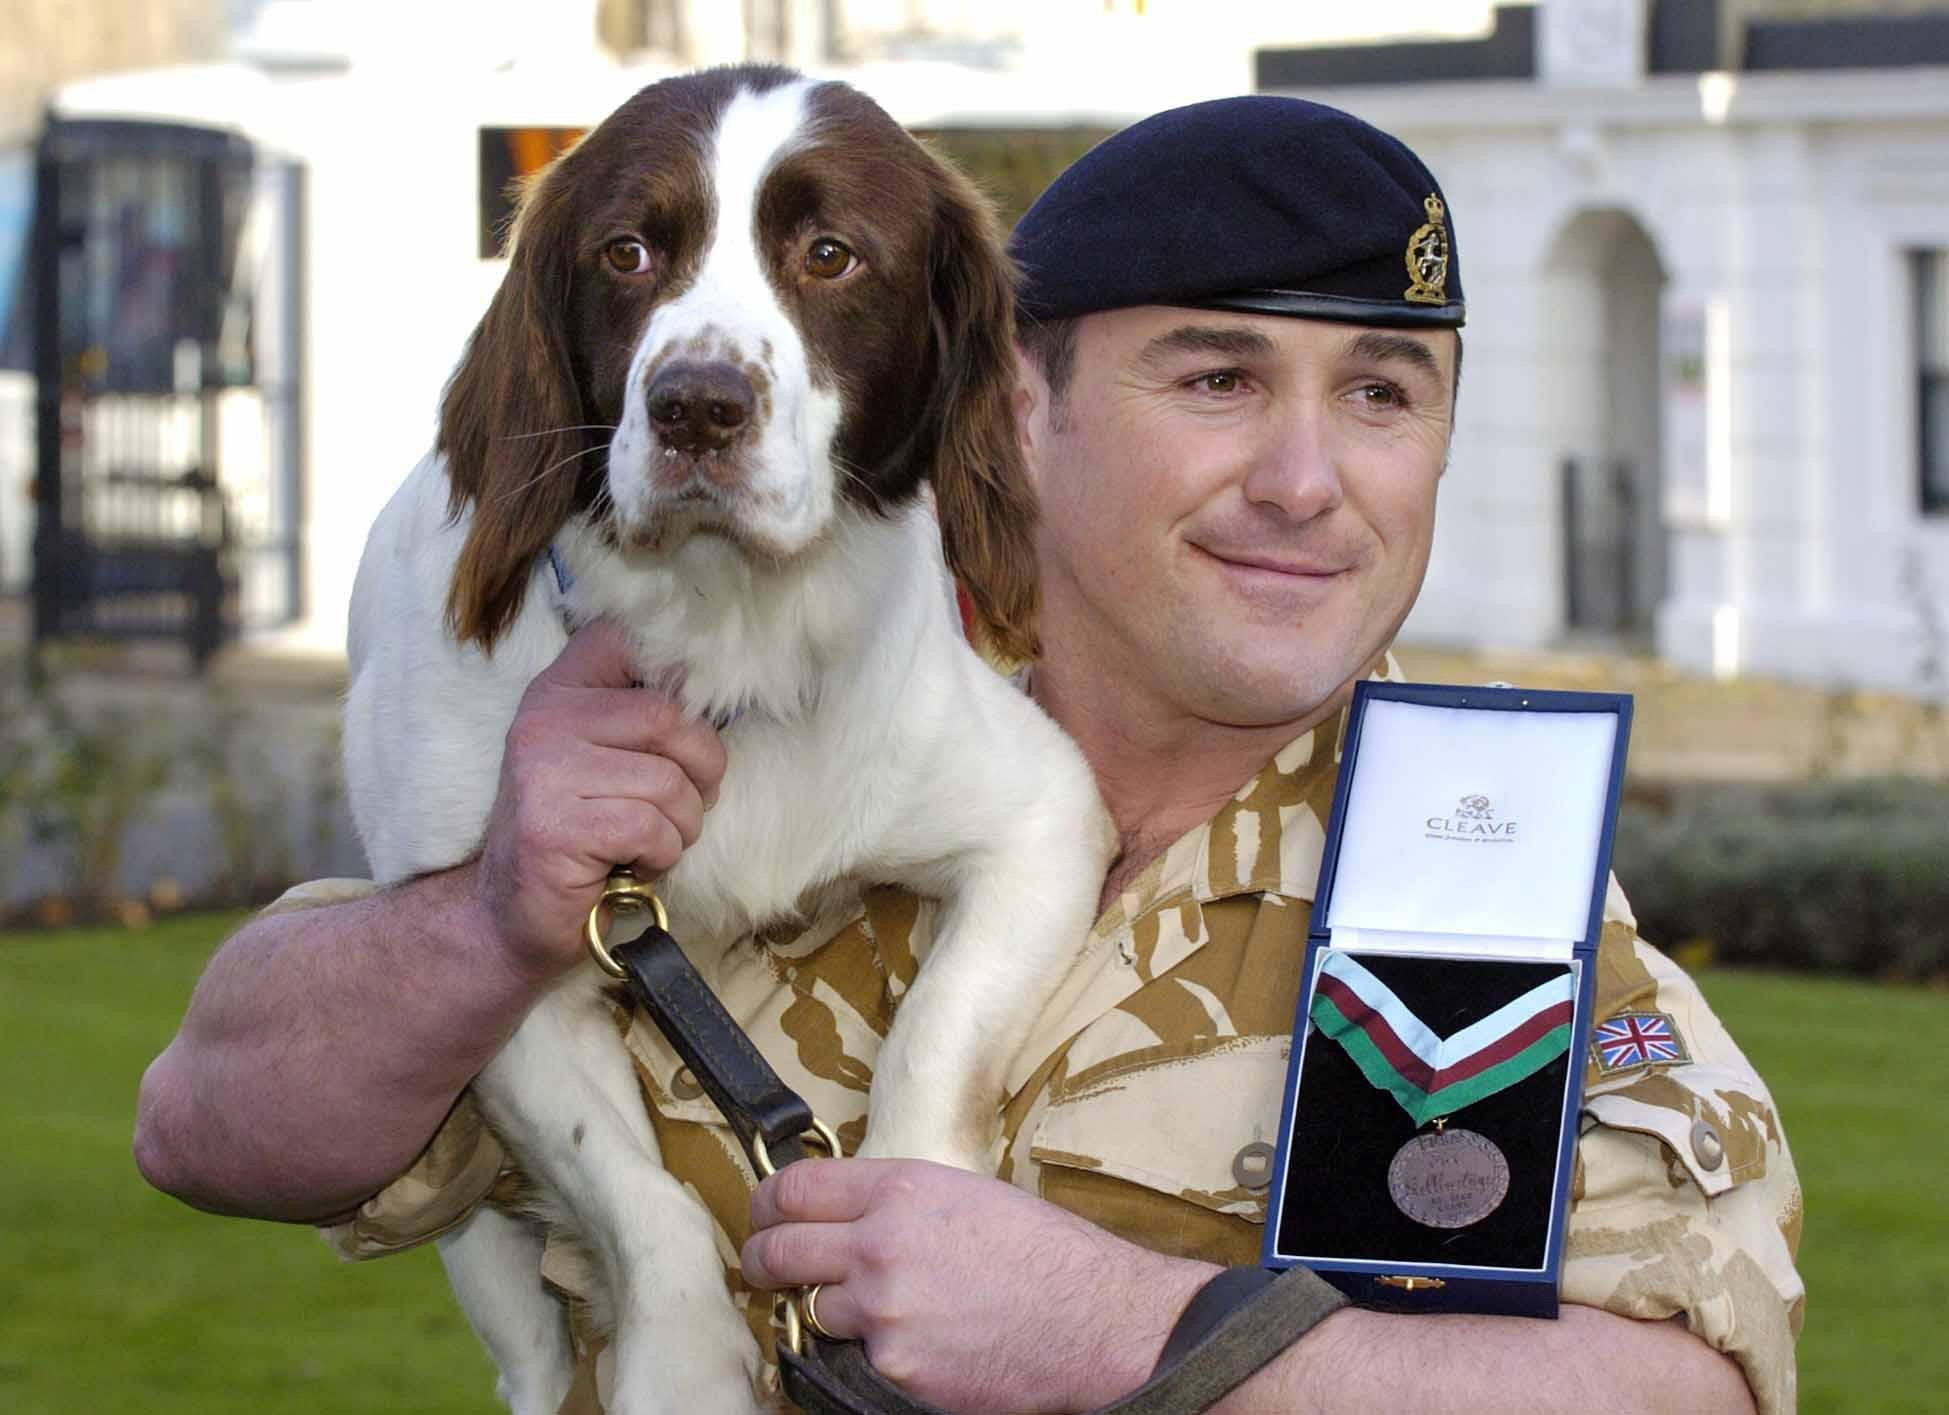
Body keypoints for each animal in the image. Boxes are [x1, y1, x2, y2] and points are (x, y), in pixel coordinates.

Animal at [341, 63, 1114, 1415]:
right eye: (627, 251)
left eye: (829, 254)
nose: (695, 404)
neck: (725, 638)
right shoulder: (502, 922)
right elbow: (629, 1186)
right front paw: (687, 1355)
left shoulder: (1042, 816)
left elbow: (937, 1038)